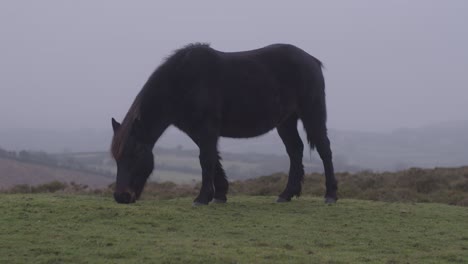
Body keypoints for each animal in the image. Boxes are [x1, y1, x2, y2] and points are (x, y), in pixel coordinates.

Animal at [109, 43, 336, 205]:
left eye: (135, 154)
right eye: (117, 158)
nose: (122, 197)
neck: (183, 82)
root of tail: (312, 60)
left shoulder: (207, 128)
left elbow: (206, 159)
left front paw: (202, 198)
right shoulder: (198, 131)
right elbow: (212, 158)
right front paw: (219, 194)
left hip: (312, 115)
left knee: (324, 149)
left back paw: (331, 195)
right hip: (286, 121)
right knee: (295, 150)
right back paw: (286, 194)